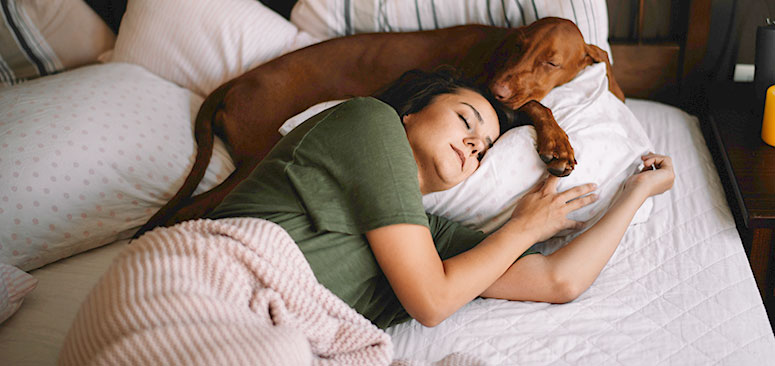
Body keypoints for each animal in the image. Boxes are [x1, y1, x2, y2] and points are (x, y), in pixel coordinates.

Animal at [136, 16, 628, 234]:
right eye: (518, 46)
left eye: (550, 61)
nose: (498, 88)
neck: (495, 49)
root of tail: (236, 81)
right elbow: (539, 106)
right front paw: (557, 144)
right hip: (257, 158)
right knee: (191, 208)